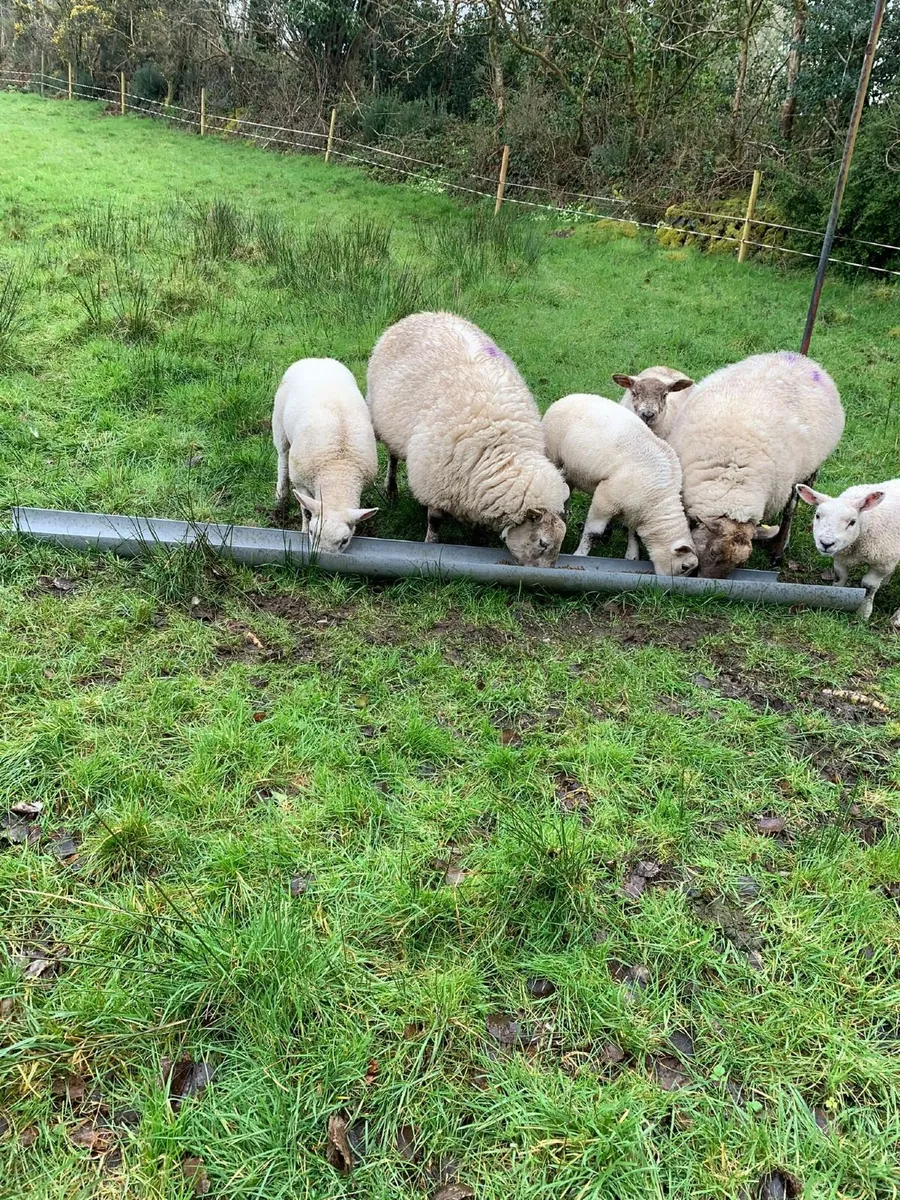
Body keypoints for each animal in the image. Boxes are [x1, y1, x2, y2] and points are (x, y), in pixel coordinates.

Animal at [272, 357, 378, 553]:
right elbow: (305, 510)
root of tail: (316, 359)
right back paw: (280, 495)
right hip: (279, 424)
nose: (320, 559)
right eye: (312, 533)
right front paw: (303, 528)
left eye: (344, 540)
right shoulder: (300, 482)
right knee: (282, 458)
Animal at [367, 311, 568, 567]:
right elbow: (435, 520)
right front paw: (431, 543)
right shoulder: (436, 481)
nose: (548, 573)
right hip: (383, 422)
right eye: (543, 543)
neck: (502, 447)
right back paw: (391, 489)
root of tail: (424, 313)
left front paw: (477, 543)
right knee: (392, 457)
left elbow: (478, 526)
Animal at [543, 393, 698, 575]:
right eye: (684, 567)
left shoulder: (634, 509)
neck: (657, 502)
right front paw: (580, 554)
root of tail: (571, 396)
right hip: (552, 454)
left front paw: (632, 555)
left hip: (572, 471)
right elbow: (593, 532)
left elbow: (633, 532)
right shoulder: (605, 498)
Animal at [666, 351, 845, 577]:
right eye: (714, 552)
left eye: (741, 563)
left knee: (790, 511)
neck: (732, 480)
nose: (709, 584)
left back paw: (778, 548)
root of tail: (803, 359)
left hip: (808, 472)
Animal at [796, 479, 900, 624]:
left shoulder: (882, 563)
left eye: (852, 522)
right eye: (817, 516)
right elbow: (840, 576)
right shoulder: (840, 558)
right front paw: (835, 597)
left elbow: (868, 587)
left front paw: (863, 614)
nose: (826, 544)